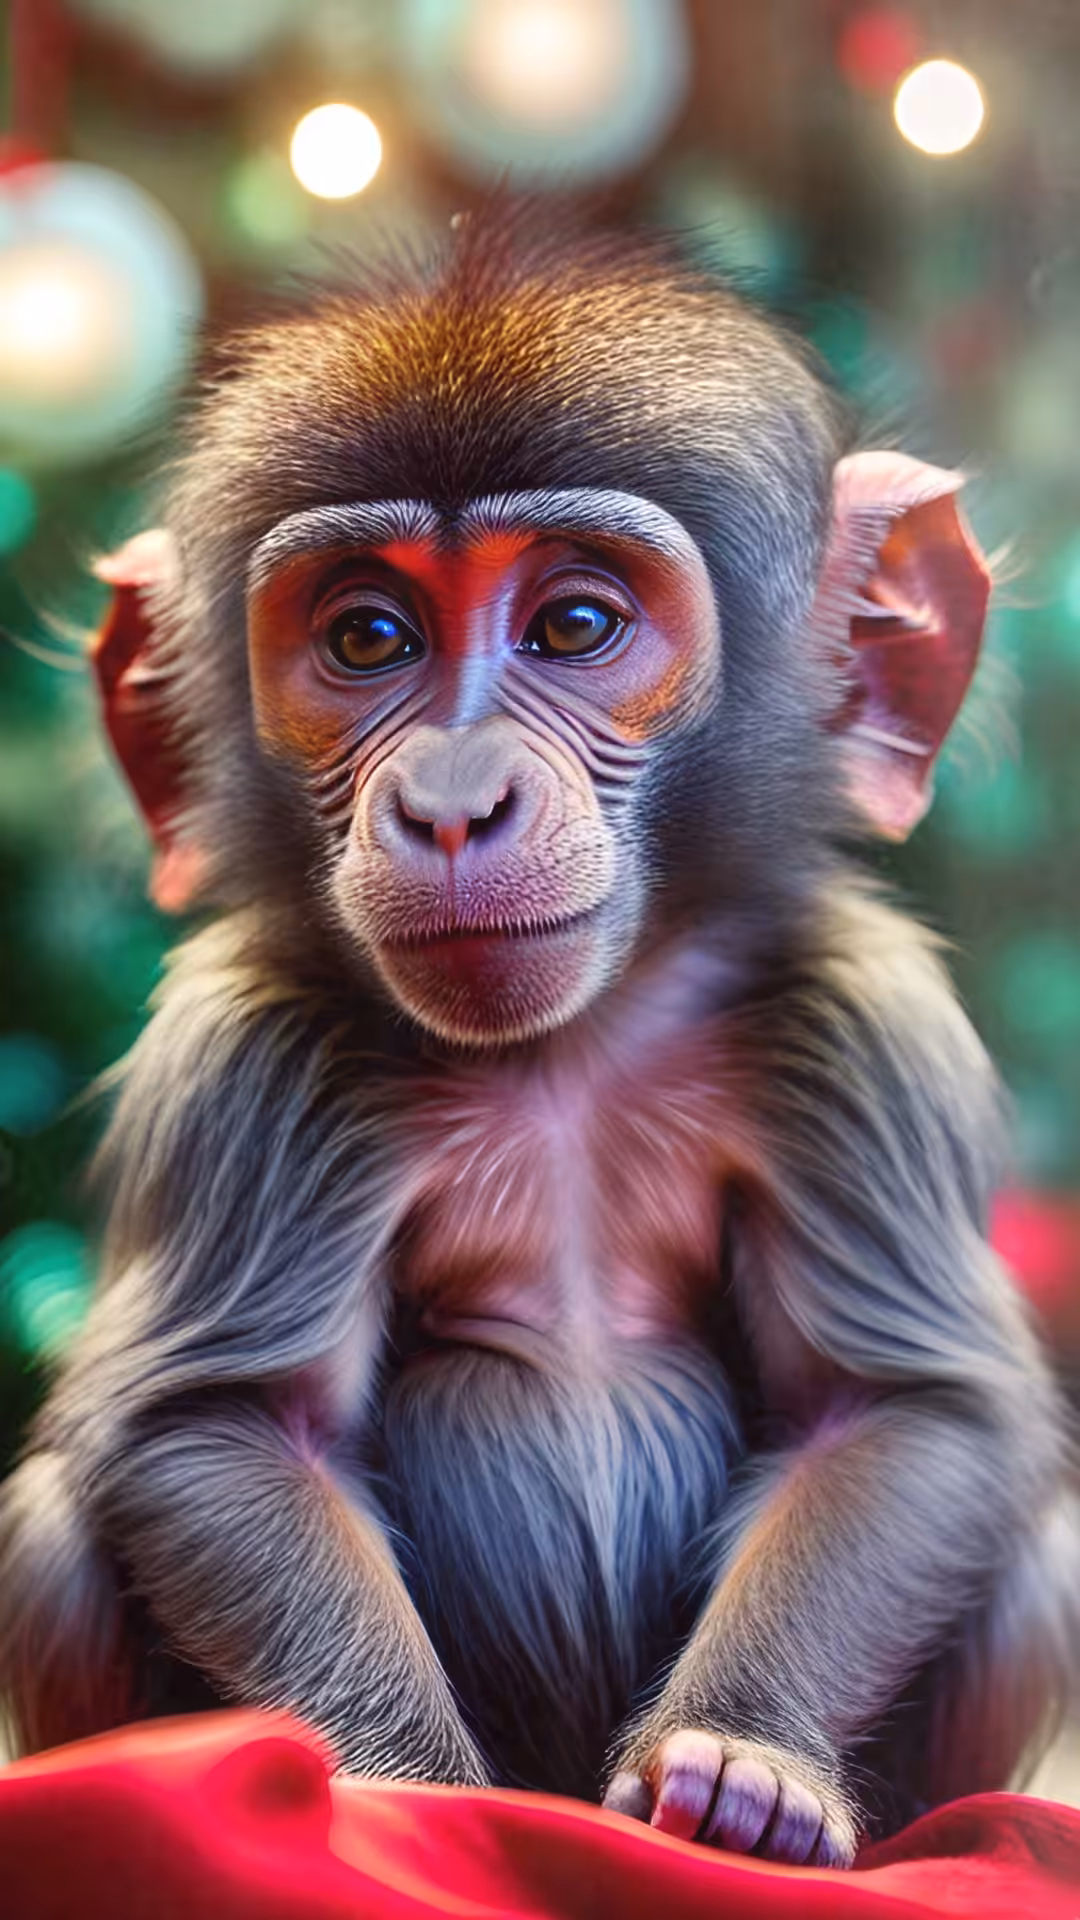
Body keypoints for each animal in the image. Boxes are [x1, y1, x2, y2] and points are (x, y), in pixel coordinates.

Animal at [0, 208, 1076, 1871]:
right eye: (367, 637)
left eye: (577, 624)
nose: (453, 800)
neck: (571, 1049)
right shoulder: (245, 1045)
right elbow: (229, 1422)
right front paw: (409, 1791)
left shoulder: (861, 1020)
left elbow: (896, 1405)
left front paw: (749, 1758)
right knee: (51, 1531)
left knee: (1036, 1558)